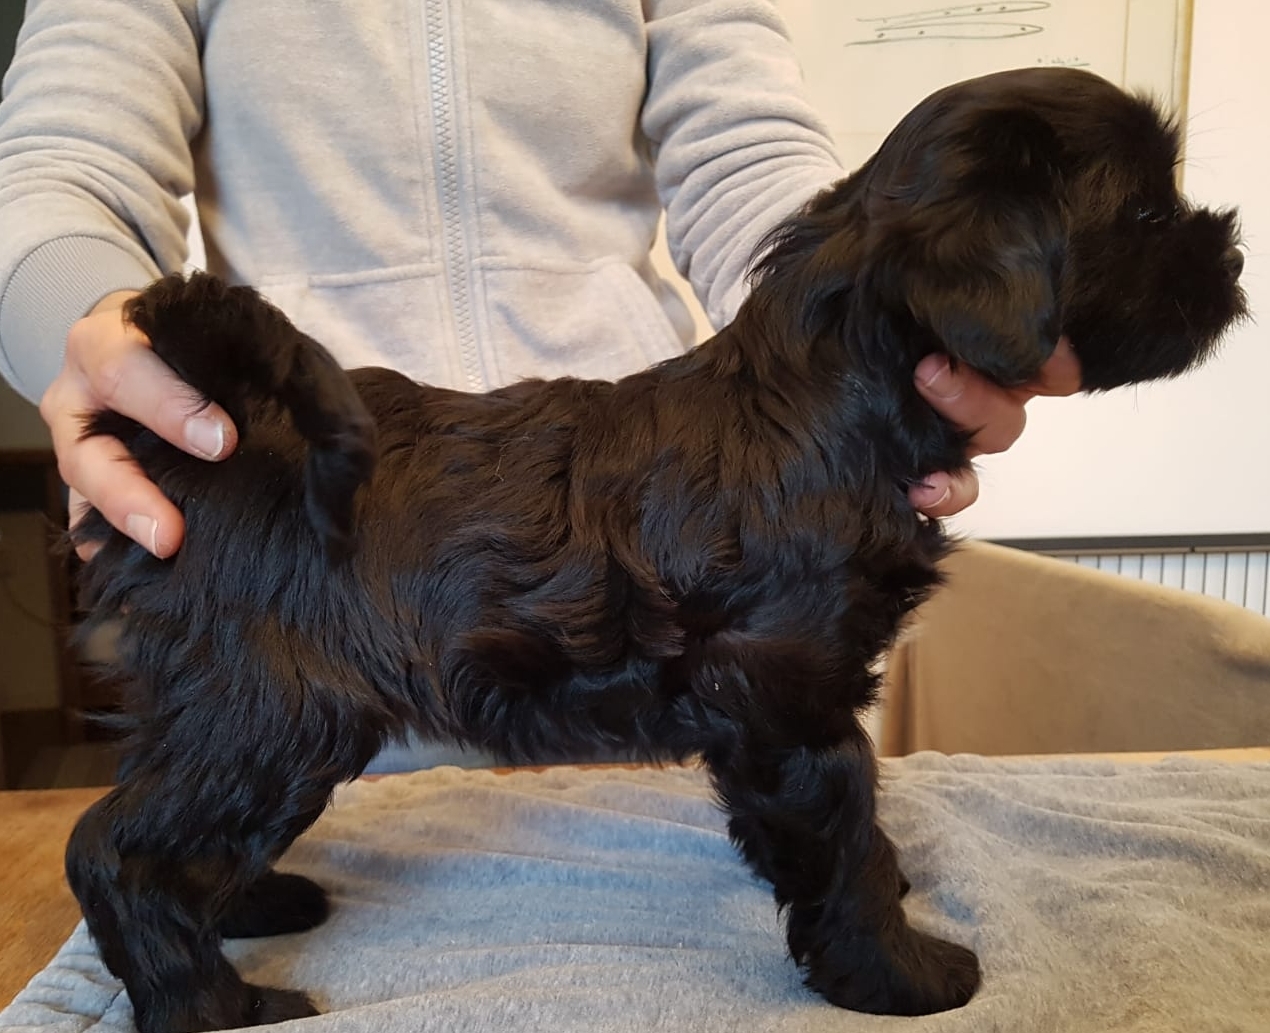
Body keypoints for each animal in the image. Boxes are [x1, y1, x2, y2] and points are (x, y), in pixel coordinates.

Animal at [65, 67, 1245, 1033]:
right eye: (1145, 211)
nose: (1231, 250)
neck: (819, 397)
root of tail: (212, 435)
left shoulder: (780, 712)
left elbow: (826, 834)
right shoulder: (790, 697)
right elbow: (851, 839)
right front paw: (899, 974)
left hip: (247, 714)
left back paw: (250, 901)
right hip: (273, 707)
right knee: (117, 850)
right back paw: (214, 1004)